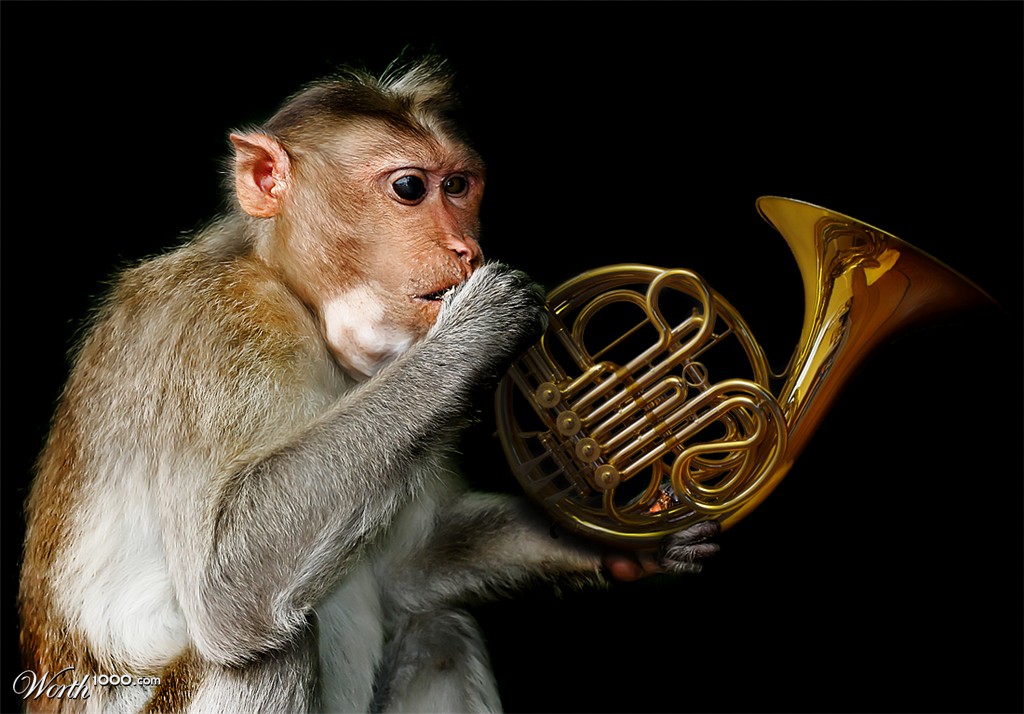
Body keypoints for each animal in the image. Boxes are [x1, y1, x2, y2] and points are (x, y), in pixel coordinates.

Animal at [17, 56, 719, 713]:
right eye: (410, 188)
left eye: (458, 186)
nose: (466, 249)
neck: (299, 299)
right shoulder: (218, 325)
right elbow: (226, 579)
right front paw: (483, 325)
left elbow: (410, 568)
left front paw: (630, 535)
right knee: (266, 647)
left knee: (439, 629)